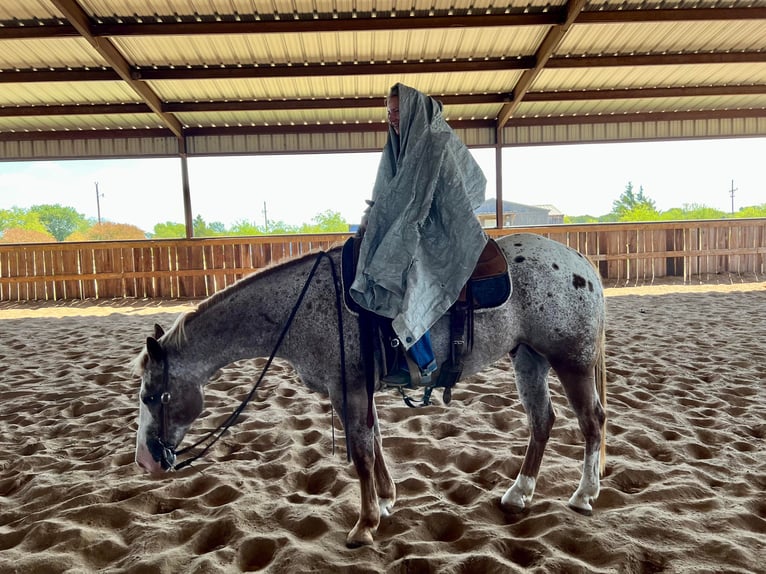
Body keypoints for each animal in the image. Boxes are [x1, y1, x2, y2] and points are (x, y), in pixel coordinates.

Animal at [135, 233, 608, 548]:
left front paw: (364, 525)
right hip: (529, 358)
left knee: (592, 422)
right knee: (542, 421)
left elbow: (361, 454)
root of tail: (581, 263)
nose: (145, 461)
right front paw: (385, 502)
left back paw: (584, 495)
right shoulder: (357, 392)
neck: (302, 308)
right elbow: (375, 441)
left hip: (572, 361)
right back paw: (519, 494)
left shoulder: (348, 390)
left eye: (151, 396)